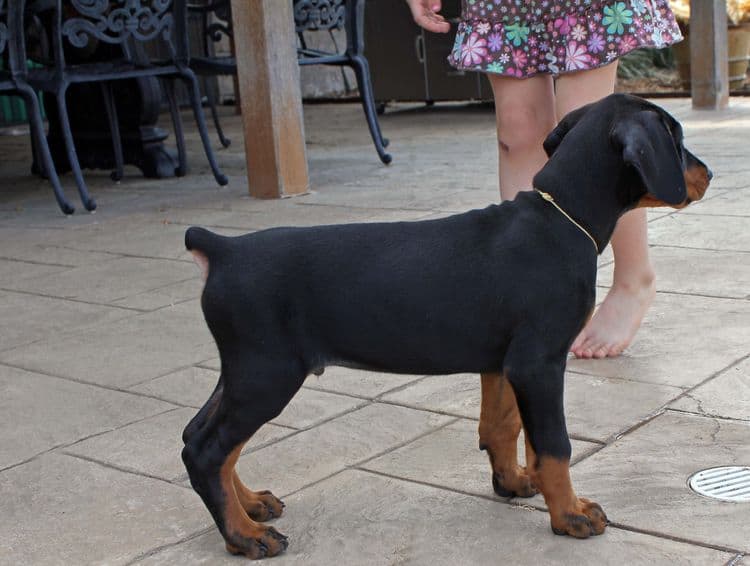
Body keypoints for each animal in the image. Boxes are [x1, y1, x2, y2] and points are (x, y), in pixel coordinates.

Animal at [181, 95, 712, 560]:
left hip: (244, 369)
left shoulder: (502, 361)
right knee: (208, 450)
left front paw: (514, 482)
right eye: (677, 139)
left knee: (197, 438)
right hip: (268, 373)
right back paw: (245, 537)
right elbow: (554, 445)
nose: (708, 173)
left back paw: (251, 506)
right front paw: (570, 514)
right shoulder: (539, 363)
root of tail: (223, 249)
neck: (561, 217)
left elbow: (502, 425)